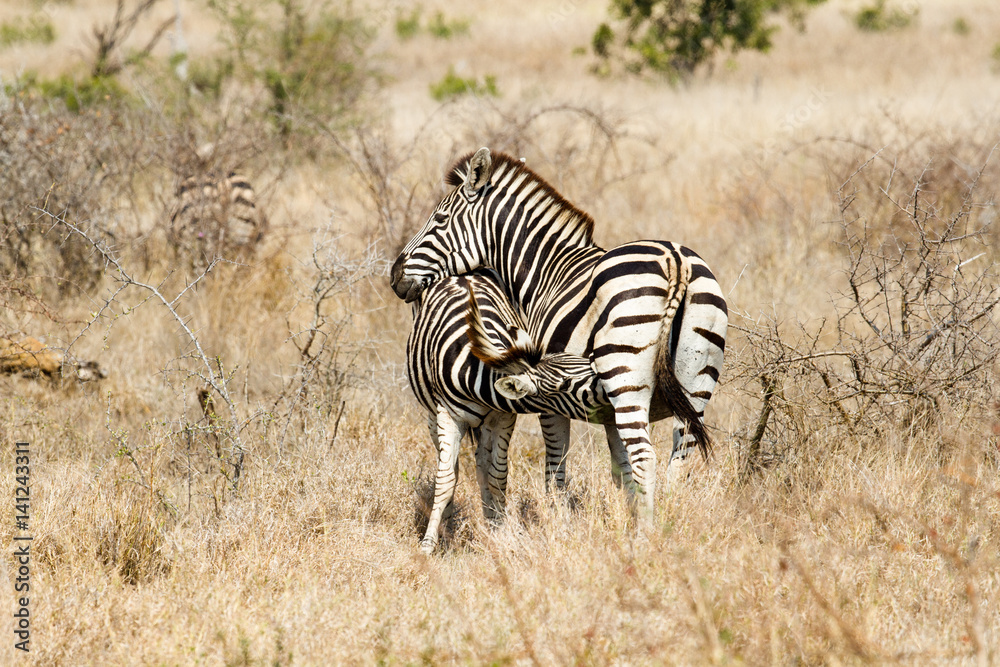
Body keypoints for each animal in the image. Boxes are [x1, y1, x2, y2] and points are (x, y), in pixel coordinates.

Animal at [391, 148, 728, 518]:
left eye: (439, 219)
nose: (394, 276)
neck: (546, 271)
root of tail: (675, 261)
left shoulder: (549, 396)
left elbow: (556, 469)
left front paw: (559, 518)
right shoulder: (602, 408)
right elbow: (620, 469)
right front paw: (624, 516)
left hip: (626, 379)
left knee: (645, 457)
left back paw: (647, 532)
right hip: (696, 384)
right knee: (678, 463)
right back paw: (666, 521)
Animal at [407, 268, 610, 554]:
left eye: (584, 362)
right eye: (564, 385)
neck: (476, 372)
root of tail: (464, 274)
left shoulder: (503, 417)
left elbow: (498, 476)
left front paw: (501, 531)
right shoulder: (448, 415)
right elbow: (445, 480)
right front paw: (428, 545)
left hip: (485, 425)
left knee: (482, 464)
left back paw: (490, 520)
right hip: (432, 415)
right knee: (451, 467)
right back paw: (447, 523)